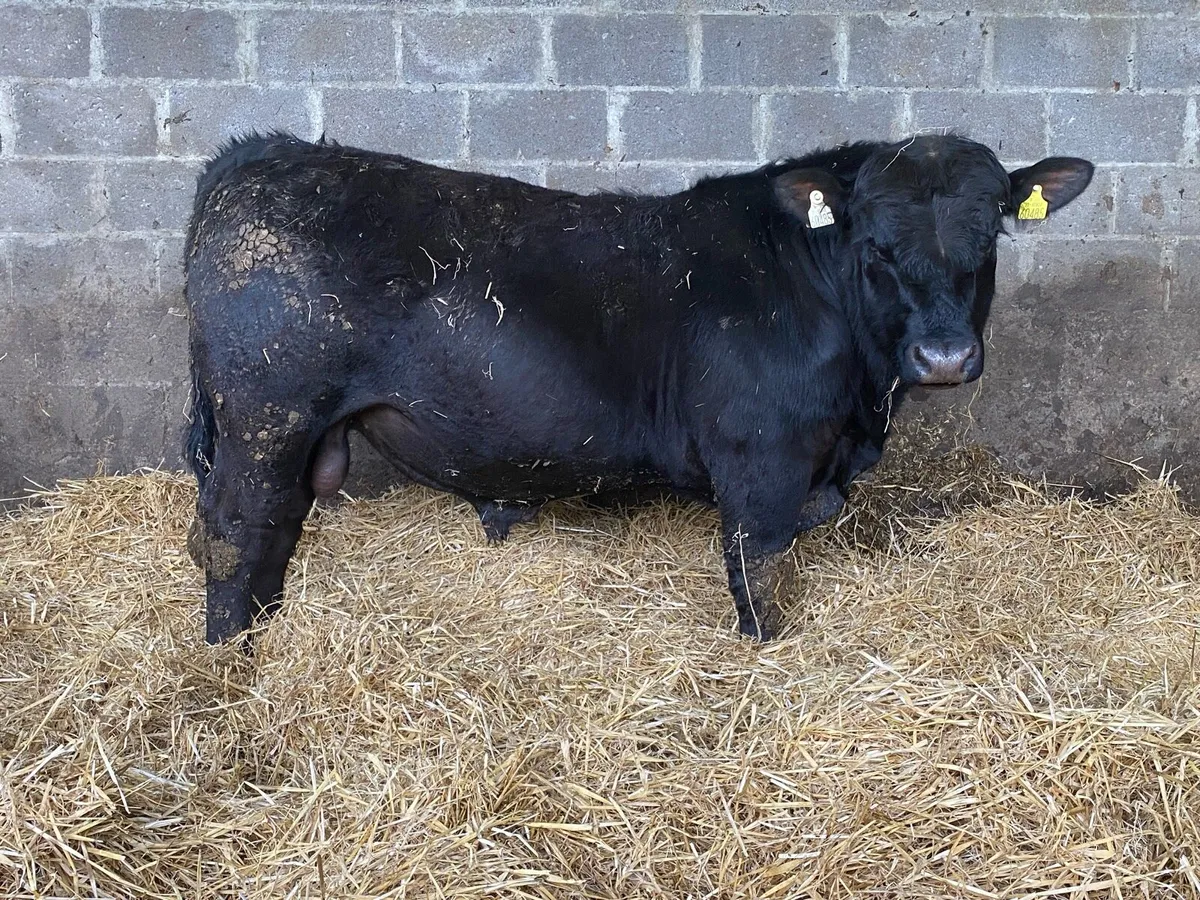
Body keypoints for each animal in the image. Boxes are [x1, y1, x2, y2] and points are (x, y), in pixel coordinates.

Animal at [183, 131, 1093, 646]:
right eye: (875, 242)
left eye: (991, 233)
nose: (944, 355)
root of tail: (263, 152)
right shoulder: (761, 465)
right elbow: (757, 576)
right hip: (267, 414)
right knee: (234, 531)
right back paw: (231, 656)